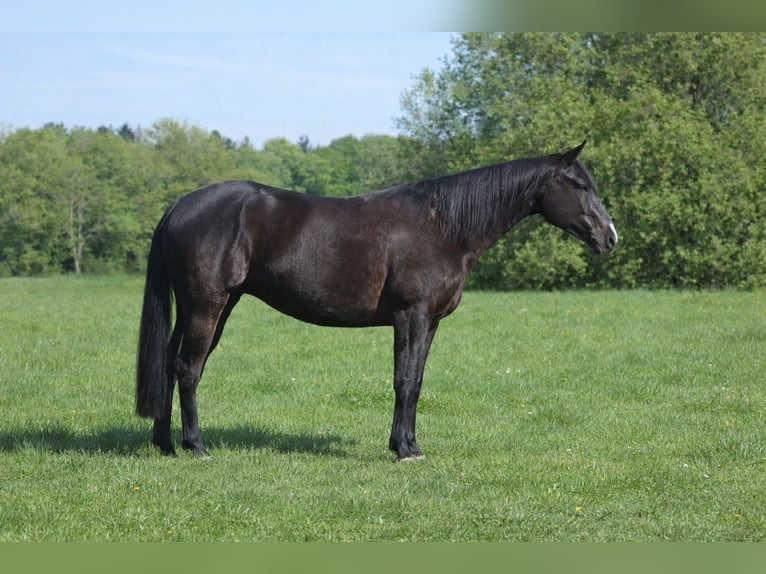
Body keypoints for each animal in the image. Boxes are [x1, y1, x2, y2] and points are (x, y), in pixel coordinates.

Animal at [136, 141, 617, 461]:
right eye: (579, 184)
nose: (610, 237)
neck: (444, 227)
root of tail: (179, 206)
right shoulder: (412, 317)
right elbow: (404, 381)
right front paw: (404, 450)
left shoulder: (430, 322)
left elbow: (416, 382)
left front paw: (409, 444)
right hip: (207, 307)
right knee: (188, 368)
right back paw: (196, 446)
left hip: (205, 308)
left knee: (168, 363)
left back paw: (165, 444)